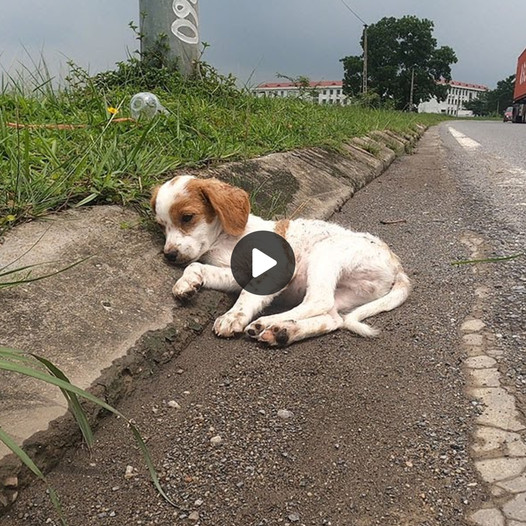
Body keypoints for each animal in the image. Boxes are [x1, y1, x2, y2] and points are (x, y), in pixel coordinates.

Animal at [152, 176, 412, 346]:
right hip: (351, 292)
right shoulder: (235, 273)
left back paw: (266, 322)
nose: (169, 255)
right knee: (332, 317)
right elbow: (197, 265)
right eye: (161, 226)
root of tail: (397, 265)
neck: (224, 238)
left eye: (187, 217)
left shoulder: (278, 269)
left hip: (327, 252)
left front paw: (233, 316)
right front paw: (186, 284)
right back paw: (286, 330)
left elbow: (247, 295)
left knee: (318, 300)